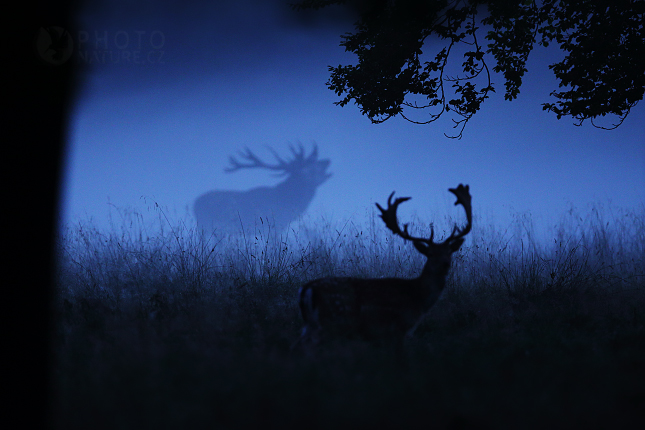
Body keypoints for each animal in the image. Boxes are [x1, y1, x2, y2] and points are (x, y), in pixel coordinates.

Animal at [294, 184, 470, 350]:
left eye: (449, 252)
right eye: (431, 254)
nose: (445, 264)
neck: (417, 296)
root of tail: (306, 289)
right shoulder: (398, 328)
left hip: (313, 324)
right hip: (331, 319)